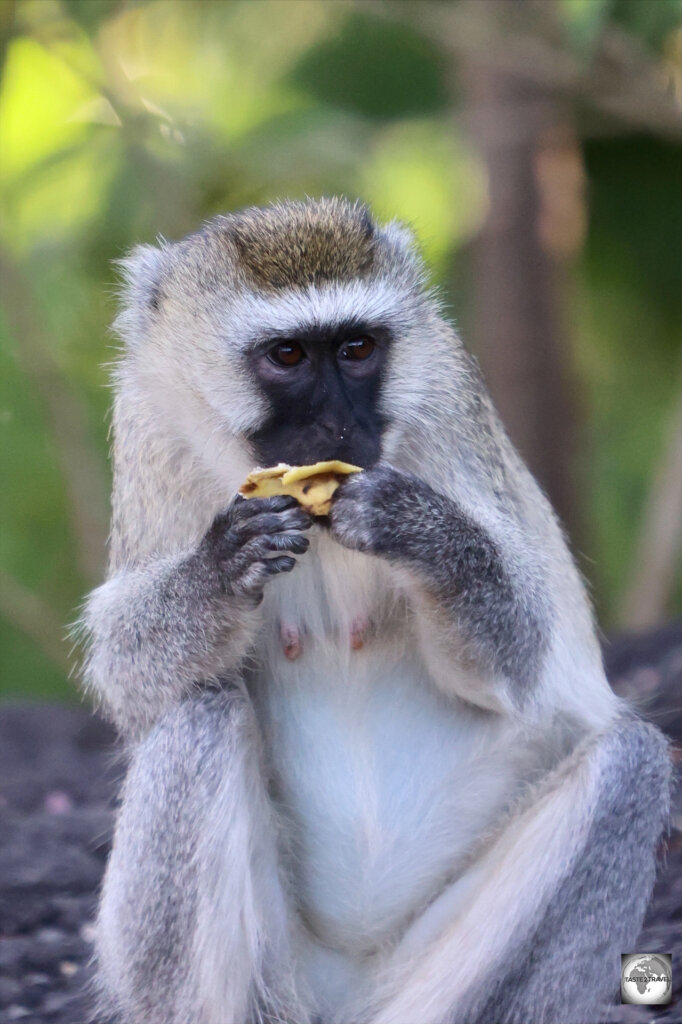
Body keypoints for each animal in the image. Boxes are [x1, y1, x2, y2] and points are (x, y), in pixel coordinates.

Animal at [80, 197, 667, 1024]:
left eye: (358, 348)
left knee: (631, 765)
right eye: (288, 356)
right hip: (282, 979)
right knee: (200, 713)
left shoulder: (449, 395)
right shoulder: (148, 422)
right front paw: (221, 566)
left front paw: (416, 525)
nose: (338, 427)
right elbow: (131, 677)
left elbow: (517, 656)